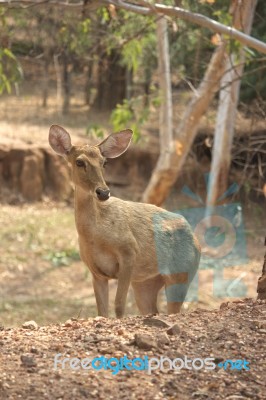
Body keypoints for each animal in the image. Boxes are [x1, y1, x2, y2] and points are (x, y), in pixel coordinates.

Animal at [48, 123, 201, 318]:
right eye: (79, 162)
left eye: (104, 162)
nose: (103, 192)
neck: (95, 237)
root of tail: (197, 242)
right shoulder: (95, 271)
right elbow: (102, 311)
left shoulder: (129, 251)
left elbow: (119, 305)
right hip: (145, 283)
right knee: (153, 310)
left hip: (182, 274)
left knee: (174, 310)